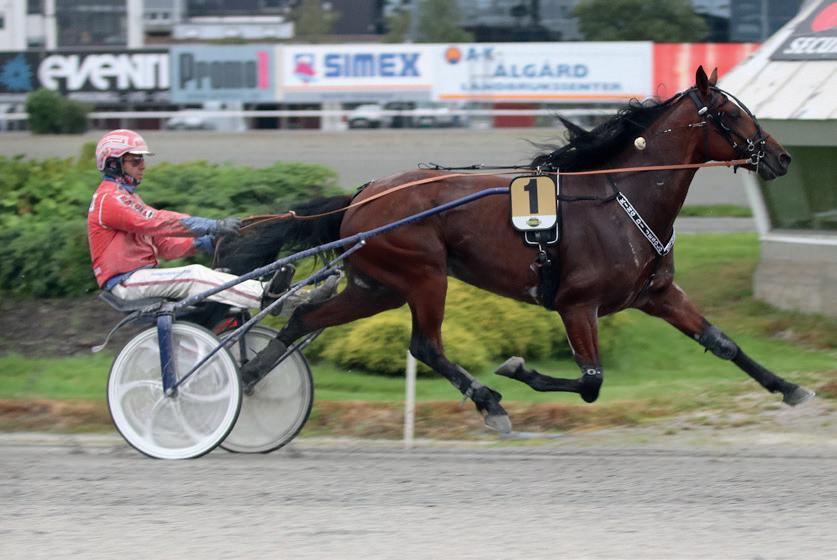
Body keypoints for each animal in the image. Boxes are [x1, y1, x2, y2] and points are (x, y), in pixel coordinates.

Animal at [218, 66, 814, 433]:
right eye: (731, 116)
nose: (782, 157)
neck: (621, 199)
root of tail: (364, 195)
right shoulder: (577, 304)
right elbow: (591, 382)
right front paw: (518, 369)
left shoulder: (657, 294)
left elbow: (722, 343)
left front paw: (789, 388)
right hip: (424, 275)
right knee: (425, 345)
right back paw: (488, 400)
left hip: (376, 287)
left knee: (304, 319)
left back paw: (248, 380)